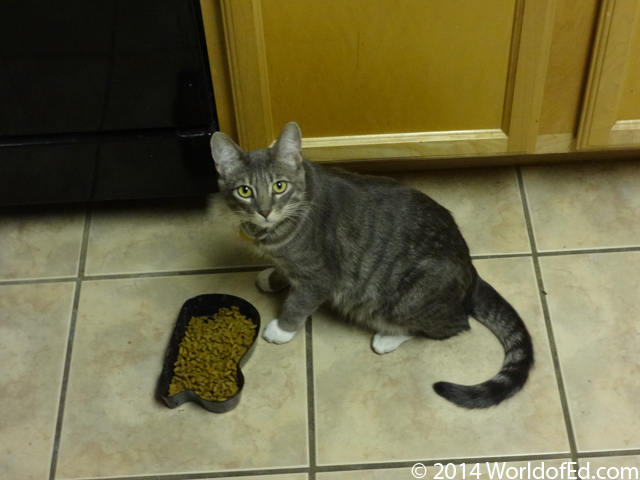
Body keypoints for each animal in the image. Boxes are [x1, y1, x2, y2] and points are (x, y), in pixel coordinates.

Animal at [211, 122, 536, 406]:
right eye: (244, 191)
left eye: (279, 186)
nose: (264, 211)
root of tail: (471, 270)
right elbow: (283, 270)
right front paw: (272, 277)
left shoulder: (318, 277)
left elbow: (298, 303)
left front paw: (281, 329)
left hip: (407, 298)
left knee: (450, 325)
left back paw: (388, 337)